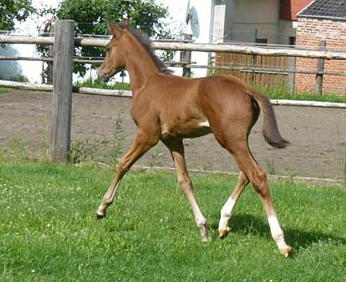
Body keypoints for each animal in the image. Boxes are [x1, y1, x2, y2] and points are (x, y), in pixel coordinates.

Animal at [96, 20, 290, 256]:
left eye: (108, 48)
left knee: (257, 176)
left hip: (230, 139)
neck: (147, 83)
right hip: (236, 140)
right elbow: (184, 181)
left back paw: (281, 242)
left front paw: (102, 208)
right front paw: (203, 229)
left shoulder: (147, 134)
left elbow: (122, 163)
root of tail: (247, 89)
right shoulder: (173, 140)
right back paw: (223, 224)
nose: (100, 73)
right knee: (245, 174)